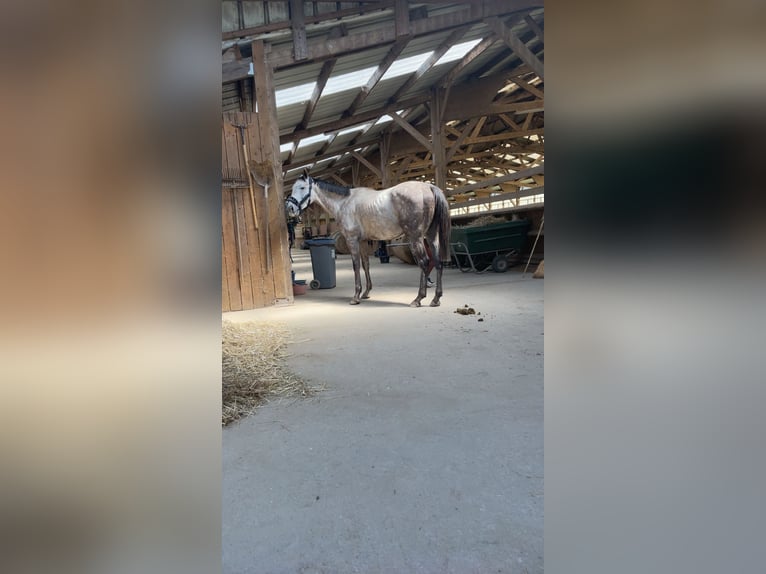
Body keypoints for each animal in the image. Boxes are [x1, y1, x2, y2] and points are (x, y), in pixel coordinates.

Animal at [286, 170, 451, 307]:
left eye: (302, 188)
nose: (290, 208)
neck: (344, 202)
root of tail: (428, 187)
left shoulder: (352, 240)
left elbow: (356, 265)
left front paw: (356, 296)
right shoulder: (363, 241)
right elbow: (366, 264)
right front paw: (366, 293)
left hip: (415, 238)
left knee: (424, 262)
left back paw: (418, 299)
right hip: (431, 236)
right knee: (438, 262)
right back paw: (436, 299)